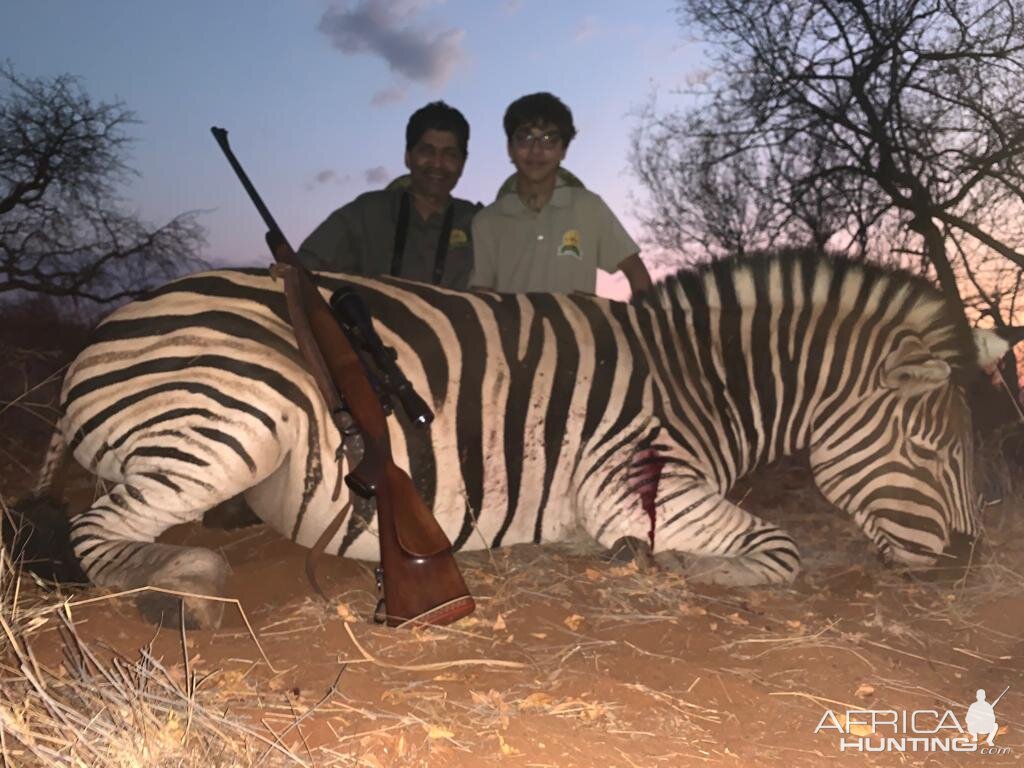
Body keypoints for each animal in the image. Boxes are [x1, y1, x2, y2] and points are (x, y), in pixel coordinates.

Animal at [19, 249, 1011, 626]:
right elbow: (778, 550)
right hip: (238, 417)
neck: (701, 380)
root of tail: (103, 333)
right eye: (935, 454)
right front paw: (674, 565)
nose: (971, 561)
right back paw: (183, 586)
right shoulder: (632, 479)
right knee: (100, 533)